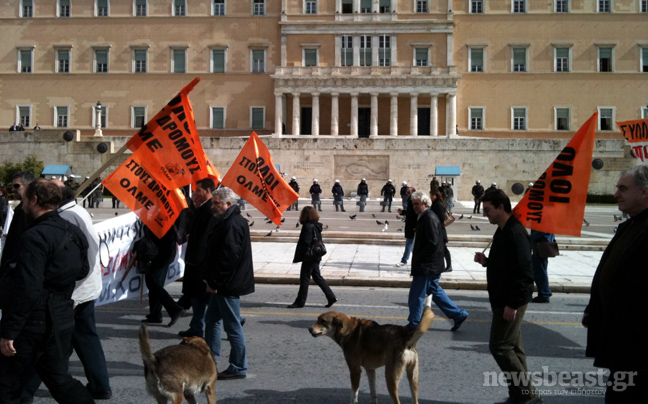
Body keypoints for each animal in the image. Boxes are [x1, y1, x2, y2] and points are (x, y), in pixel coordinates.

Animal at [308, 296, 436, 404]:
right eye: (317, 319)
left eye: (323, 321)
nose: (309, 329)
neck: (348, 330)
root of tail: (405, 333)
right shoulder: (370, 370)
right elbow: (373, 393)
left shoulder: (355, 370)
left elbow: (354, 395)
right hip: (413, 378)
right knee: (415, 399)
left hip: (391, 377)